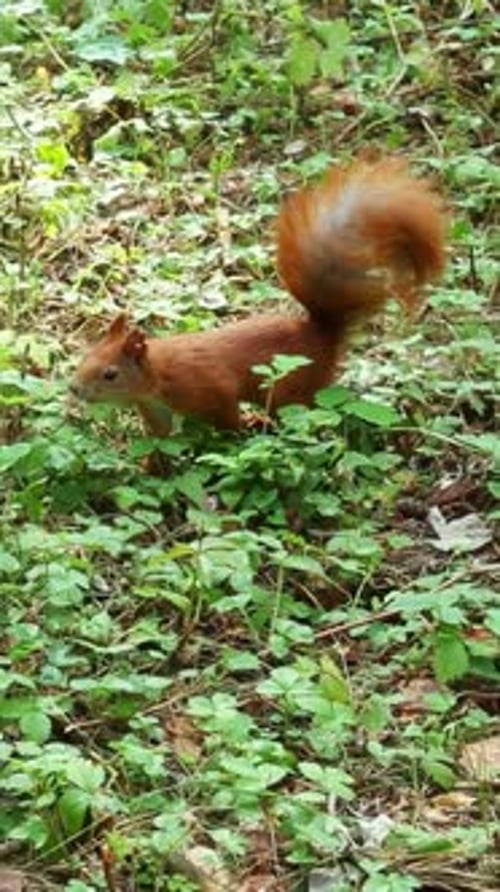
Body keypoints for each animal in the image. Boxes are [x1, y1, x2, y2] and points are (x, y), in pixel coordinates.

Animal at [70, 157, 446, 437]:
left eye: (110, 374)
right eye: (84, 357)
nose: (73, 389)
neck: (157, 375)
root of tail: (323, 333)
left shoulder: (207, 387)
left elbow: (227, 416)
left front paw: (235, 436)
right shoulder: (156, 412)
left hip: (287, 389)